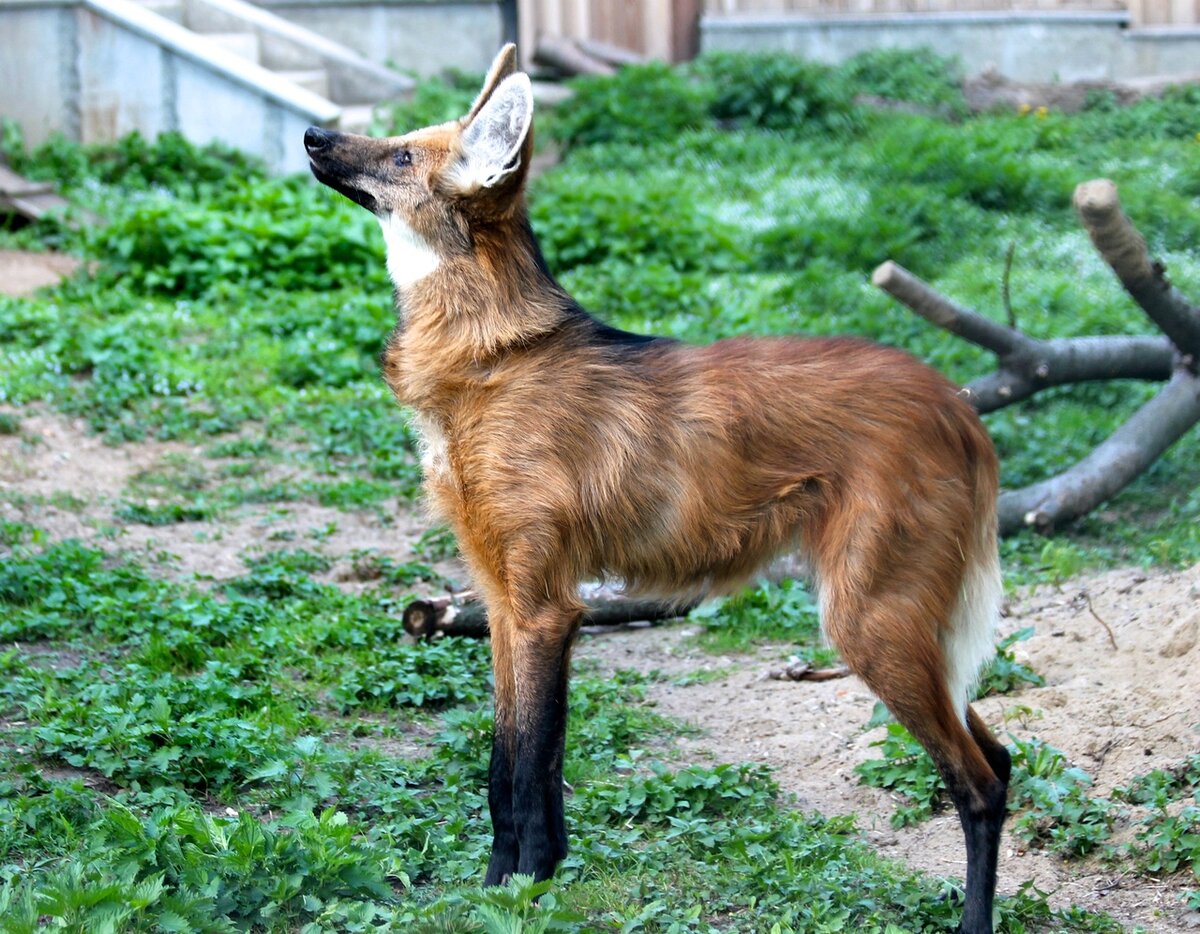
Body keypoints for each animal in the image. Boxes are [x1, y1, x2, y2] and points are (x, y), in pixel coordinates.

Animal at [304, 45, 1008, 931]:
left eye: (401, 156)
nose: (312, 133)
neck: (488, 356)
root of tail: (959, 404)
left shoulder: (543, 606)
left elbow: (527, 767)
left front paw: (524, 890)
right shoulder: (503, 601)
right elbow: (510, 763)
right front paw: (511, 883)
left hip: (867, 620)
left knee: (976, 784)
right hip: (910, 623)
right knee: (1003, 758)